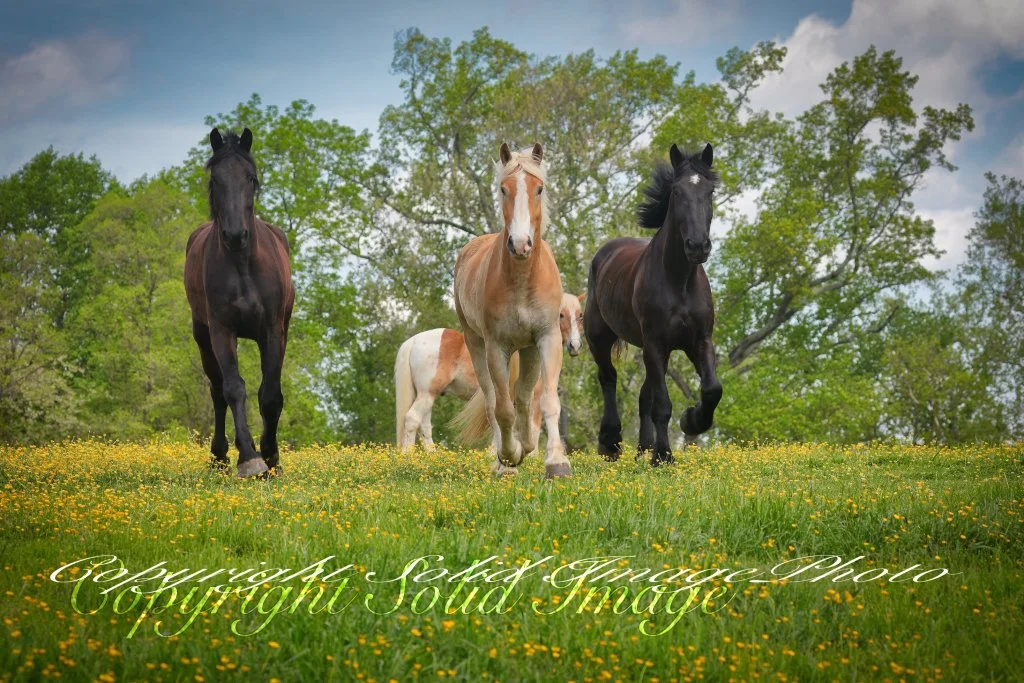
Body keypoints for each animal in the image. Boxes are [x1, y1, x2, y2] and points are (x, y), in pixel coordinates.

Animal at [184, 128, 295, 478]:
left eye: (251, 178)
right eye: (215, 179)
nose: (235, 235)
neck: (242, 265)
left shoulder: (272, 331)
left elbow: (270, 395)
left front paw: (271, 456)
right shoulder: (222, 331)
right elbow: (233, 388)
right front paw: (249, 457)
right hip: (203, 338)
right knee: (217, 391)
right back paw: (219, 456)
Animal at [395, 292, 585, 451]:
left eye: (580, 315)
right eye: (561, 314)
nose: (574, 345)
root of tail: (414, 341)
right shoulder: (534, 398)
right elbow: (532, 429)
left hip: (427, 395)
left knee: (424, 426)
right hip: (427, 394)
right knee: (412, 419)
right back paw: (408, 456)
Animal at [453, 143, 572, 478]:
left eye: (539, 189)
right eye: (503, 189)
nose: (520, 244)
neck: (522, 279)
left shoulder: (547, 339)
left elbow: (546, 401)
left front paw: (556, 462)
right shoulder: (496, 347)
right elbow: (502, 409)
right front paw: (508, 457)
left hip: (529, 351)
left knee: (524, 398)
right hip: (476, 345)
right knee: (495, 402)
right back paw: (505, 459)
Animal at [584, 143, 722, 466]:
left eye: (709, 191)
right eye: (677, 192)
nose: (698, 246)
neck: (679, 281)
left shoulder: (698, 341)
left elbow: (711, 390)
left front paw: (691, 420)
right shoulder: (656, 344)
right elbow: (662, 404)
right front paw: (663, 456)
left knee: (642, 395)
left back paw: (641, 449)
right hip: (599, 337)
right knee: (608, 378)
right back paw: (611, 442)